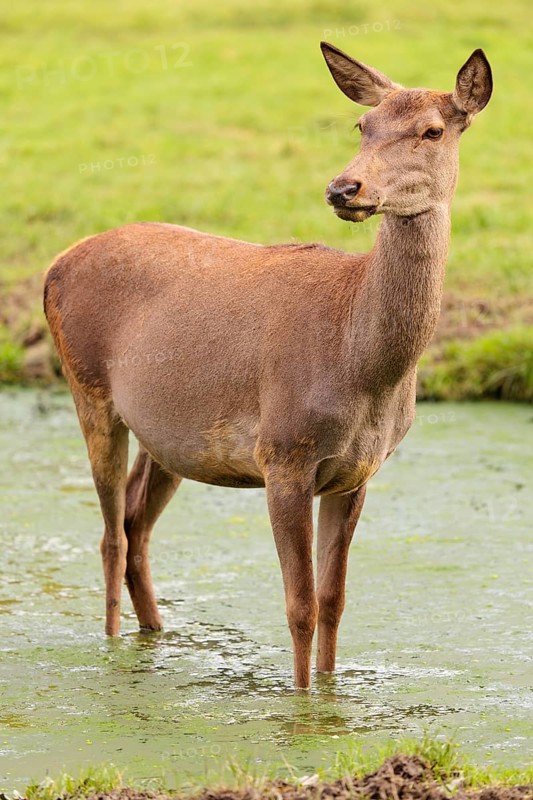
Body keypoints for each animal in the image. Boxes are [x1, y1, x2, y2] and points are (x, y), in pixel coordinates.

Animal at [44, 42, 492, 688]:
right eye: (363, 125)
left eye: (433, 130)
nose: (344, 188)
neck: (365, 368)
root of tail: (53, 266)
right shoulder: (283, 452)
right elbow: (299, 605)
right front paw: (300, 702)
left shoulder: (358, 471)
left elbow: (335, 600)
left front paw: (328, 692)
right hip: (89, 389)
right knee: (110, 537)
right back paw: (112, 650)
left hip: (170, 435)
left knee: (134, 522)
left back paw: (156, 635)